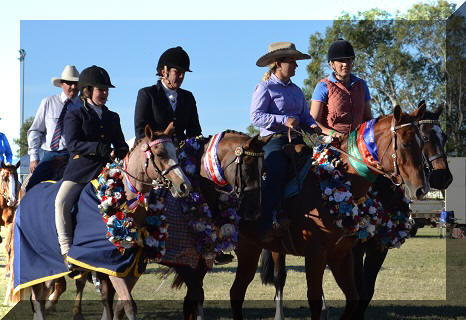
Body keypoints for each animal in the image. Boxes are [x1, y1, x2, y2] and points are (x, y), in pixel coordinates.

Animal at [14, 123, 192, 320]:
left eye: (176, 151)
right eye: (160, 153)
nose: (185, 186)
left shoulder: (129, 267)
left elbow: (115, 304)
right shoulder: (109, 265)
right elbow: (129, 305)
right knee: (37, 297)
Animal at [229, 105, 430, 320]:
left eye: (422, 143)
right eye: (406, 144)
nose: (421, 189)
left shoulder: (341, 255)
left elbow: (354, 298)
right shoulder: (316, 255)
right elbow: (316, 301)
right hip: (248, 248)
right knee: (253, 285)